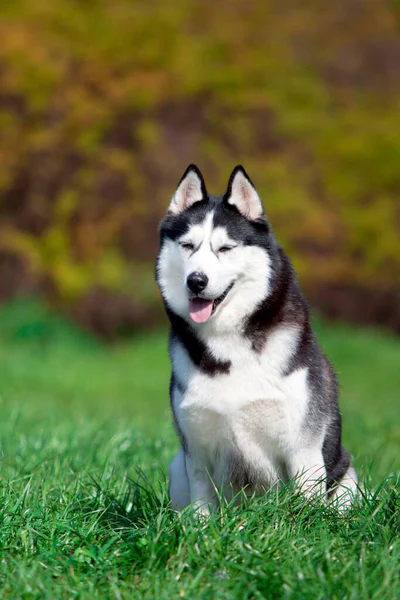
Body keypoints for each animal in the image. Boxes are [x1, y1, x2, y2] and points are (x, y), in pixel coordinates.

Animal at [155, 164, 358, 516]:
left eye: (225, 248)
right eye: (188, 245)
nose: (196, 281)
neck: (227, 343)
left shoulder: (303, 447)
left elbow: (305, 507)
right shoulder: (196, 450)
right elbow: (201, 510)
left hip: (347, 477)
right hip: (177, 465)